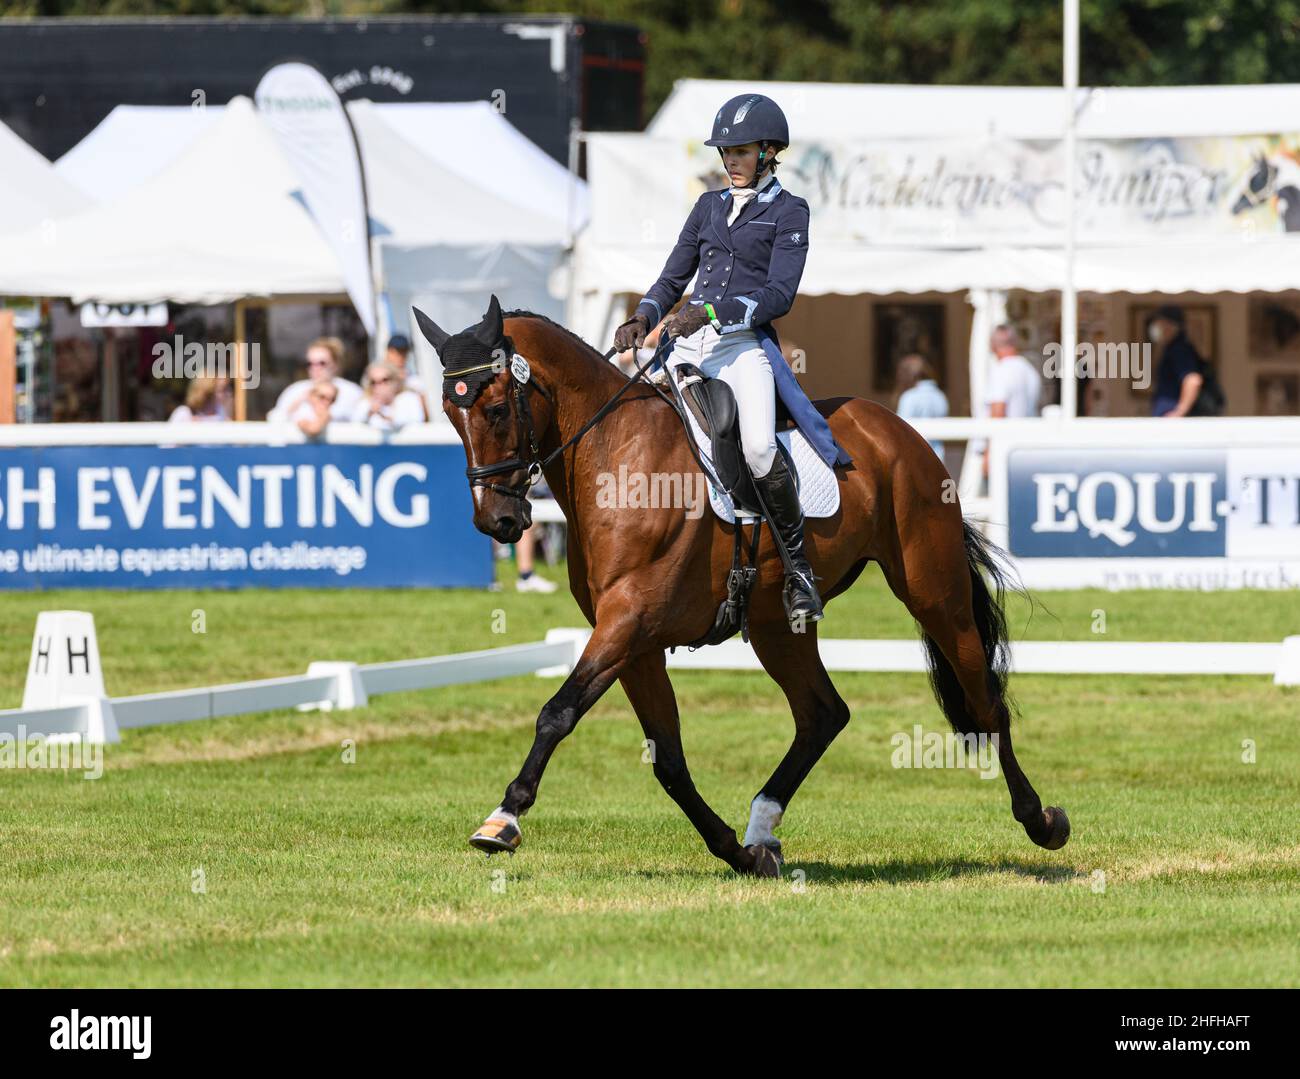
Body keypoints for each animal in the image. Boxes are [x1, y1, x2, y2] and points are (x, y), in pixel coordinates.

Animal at [416, 296, 1066, 878]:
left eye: (497, 409)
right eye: (449, 413)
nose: (497, 522)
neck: (616, 456)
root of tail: (898, 429)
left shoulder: (628, 621)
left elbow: (557, 712)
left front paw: (503, 818)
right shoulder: (634, 642)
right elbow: (669, 760)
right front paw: (735, 851)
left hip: (935, 594)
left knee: (984, 700)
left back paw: (1041, 821)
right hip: (780, 624)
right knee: (823, 714)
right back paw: (762, 832)